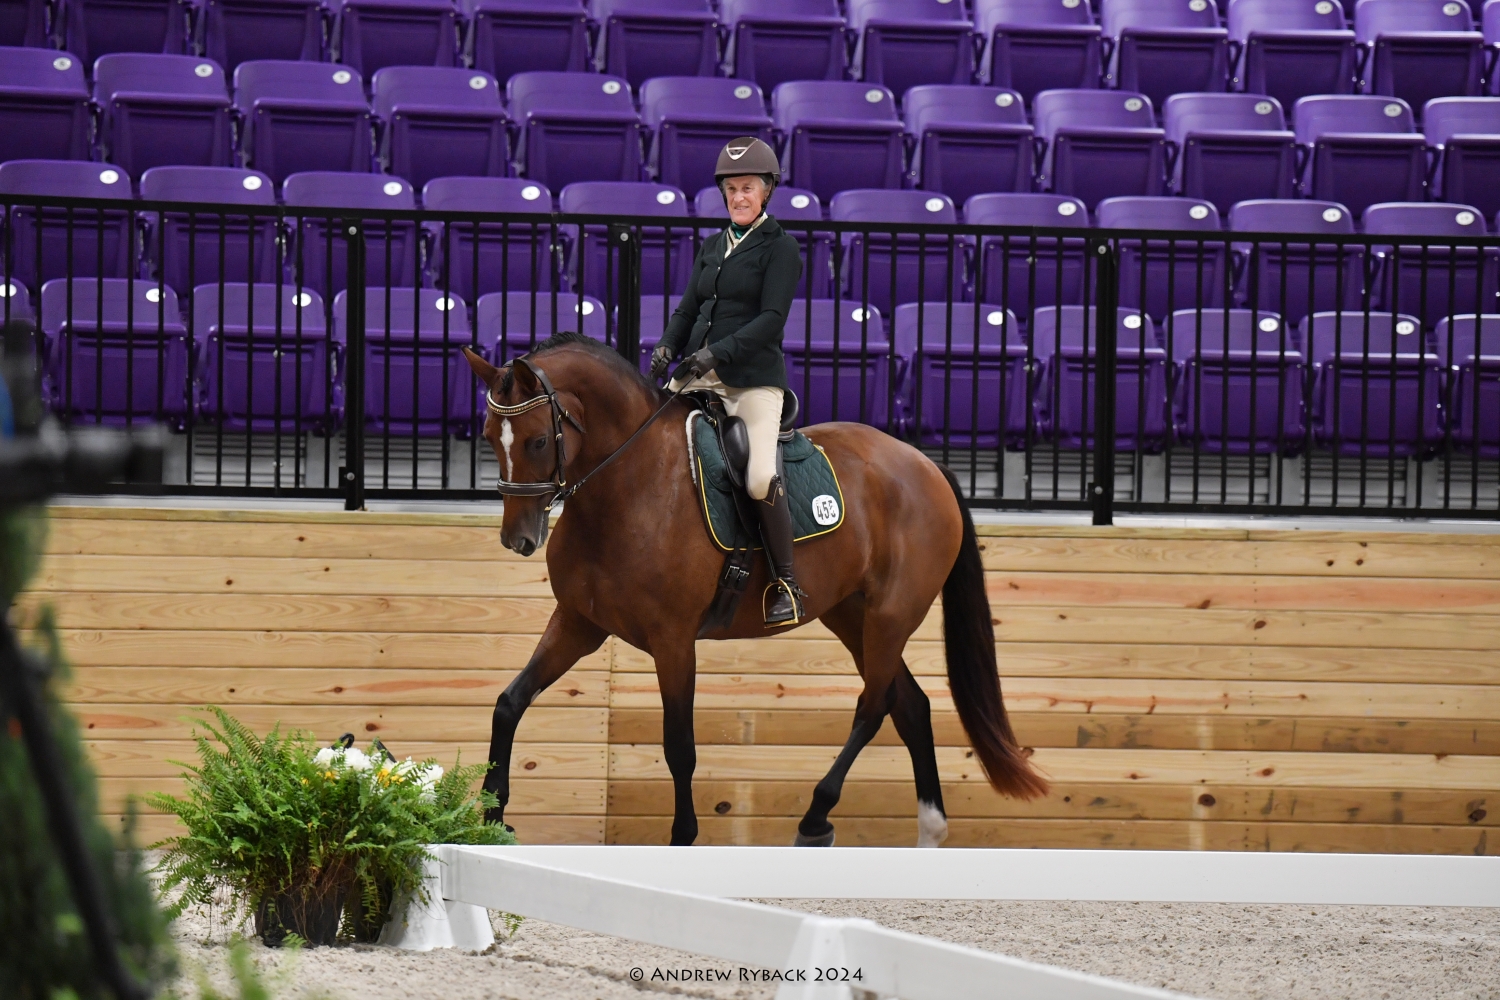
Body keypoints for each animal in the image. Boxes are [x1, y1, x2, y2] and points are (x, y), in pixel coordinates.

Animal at [461, 333, 1048, 847]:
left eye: (538, 440)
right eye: (489, 437)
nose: (518, 539)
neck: (628, 485)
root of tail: (925, 463)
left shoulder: (674, 641)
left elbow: (680, 747)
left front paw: (683, 837)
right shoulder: (579, 623)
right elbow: (509, 702)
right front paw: (492, 814)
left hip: (891, 614)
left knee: (875, 704)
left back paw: (816, 817)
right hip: (850, 614)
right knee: (910, 704)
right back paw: (930, 832)